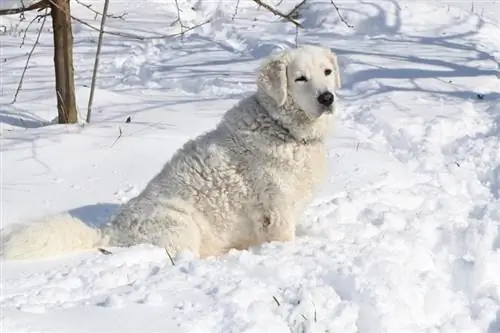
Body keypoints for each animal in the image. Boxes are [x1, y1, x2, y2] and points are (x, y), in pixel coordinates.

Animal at [1, 44, 342, 260]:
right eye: (300, 78)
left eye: (327, 72)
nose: (327, 98)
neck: (282, 128)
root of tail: (109, 233)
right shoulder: (278, 210)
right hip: (182, 225)